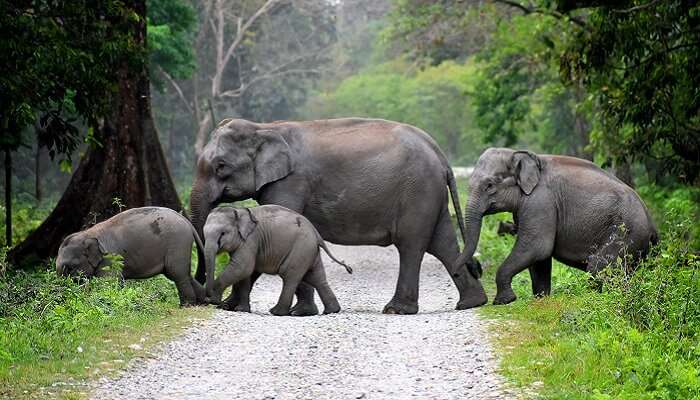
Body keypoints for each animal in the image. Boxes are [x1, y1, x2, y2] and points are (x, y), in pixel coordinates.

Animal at [57, 206, 205, 306]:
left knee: (177, 273)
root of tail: (187, 222)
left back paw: (187, 305)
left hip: (178, 243)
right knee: (183, 274)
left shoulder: (110, 259)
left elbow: (108, 283)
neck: (88, 233)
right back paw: (204, 302)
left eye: (70, 267)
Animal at [205, 206, 352, 316]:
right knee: (316, 278)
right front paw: (241, 310)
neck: (239, 211)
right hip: (309, 251)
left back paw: (277, 312)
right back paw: (331, 311)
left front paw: (215, 301)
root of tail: (317, 234)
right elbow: (245, 274)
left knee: (290, 277)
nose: (207, 299)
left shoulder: (251, 240)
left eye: (223, 233)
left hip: (300, 249)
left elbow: (242, 267)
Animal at [454, 148, 656, 304]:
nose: (460, 272)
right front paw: (541, 301)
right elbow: (539, 258)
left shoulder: (540, 201)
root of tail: (652, 225)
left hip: (626, 233)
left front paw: (504, 301)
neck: (519, 153)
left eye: (489, 185)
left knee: (597, 268)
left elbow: (536, 247)